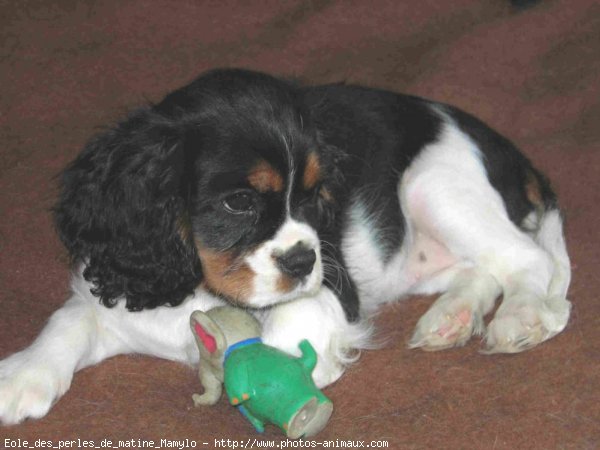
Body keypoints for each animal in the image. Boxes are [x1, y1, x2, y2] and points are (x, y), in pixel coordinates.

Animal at [0, 68, 572, 424]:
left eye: (317, 195)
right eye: (238, 203)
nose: (302, 260)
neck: (199, 289)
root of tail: (504, 146)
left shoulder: (334, 286)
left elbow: (288, 329)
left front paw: (287, 371)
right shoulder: (118, 288)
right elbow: (69, 319)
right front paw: (22, 375)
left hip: (431, 182)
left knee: (528, 259)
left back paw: (519, 317)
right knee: (482, 269)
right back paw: (450, 318)